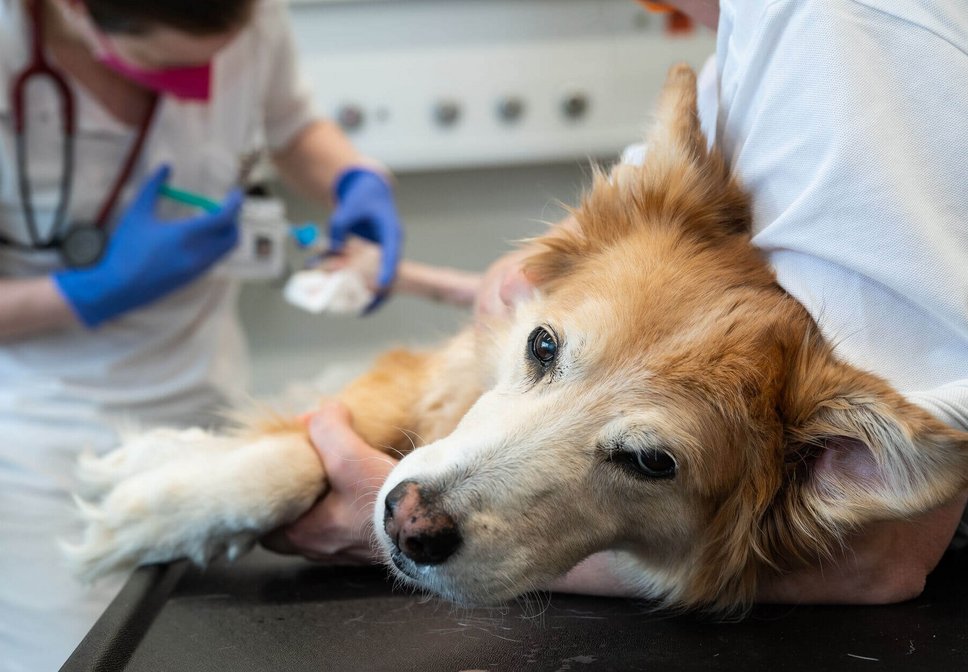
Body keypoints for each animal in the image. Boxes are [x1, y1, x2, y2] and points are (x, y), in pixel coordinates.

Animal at [72, 67, 968, 616]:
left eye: (651, 463)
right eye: (542, 347)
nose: (408, 523)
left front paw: (150, 502)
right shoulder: (438, 371)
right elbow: (295, 451)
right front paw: (158, 498)